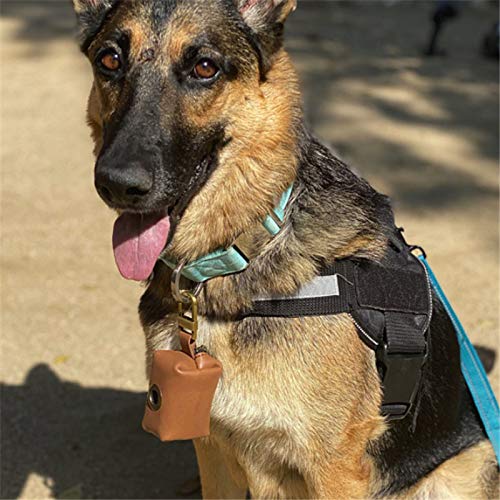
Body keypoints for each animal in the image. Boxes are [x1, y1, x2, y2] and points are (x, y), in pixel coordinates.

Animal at [72, 0, 498, 496]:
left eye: (204, 67)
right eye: (109, 60)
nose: (118, 184)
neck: (246, 253)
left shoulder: (334, 470)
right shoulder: (213, 450)